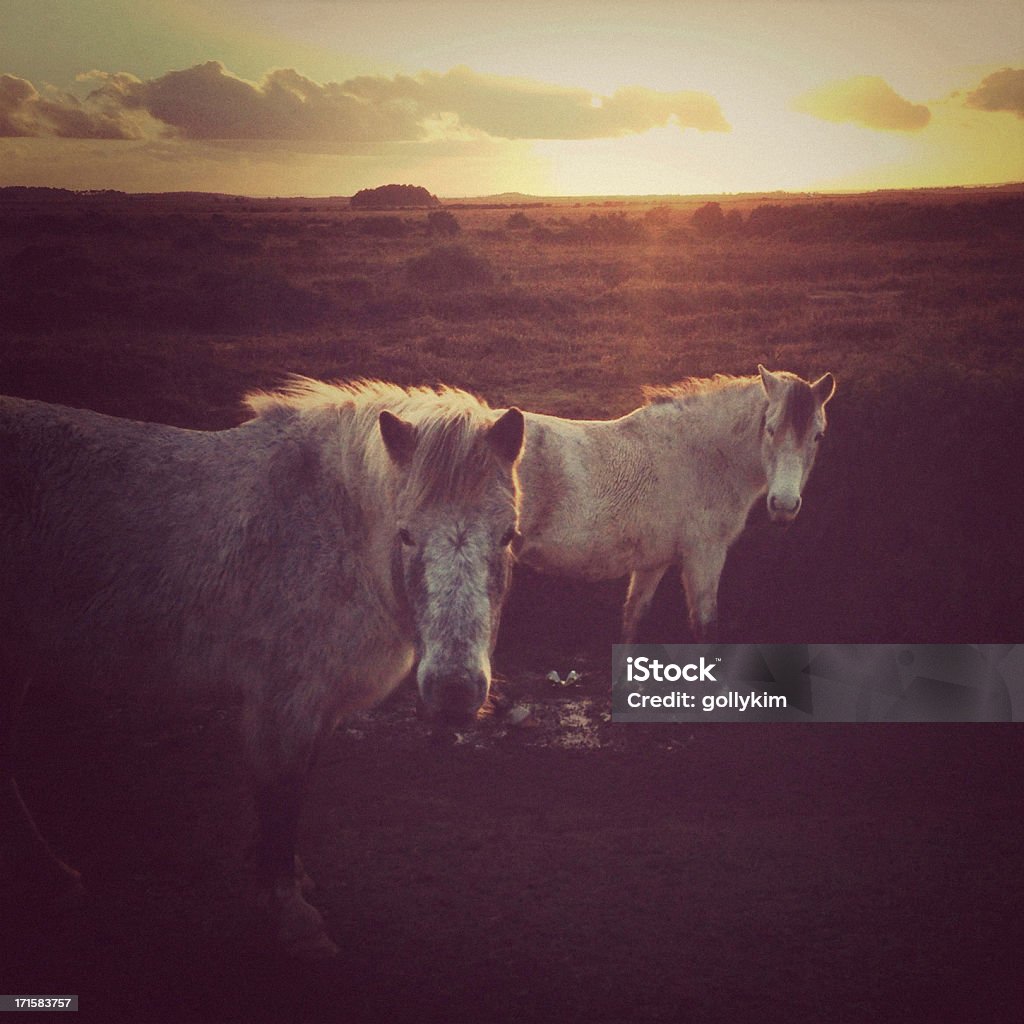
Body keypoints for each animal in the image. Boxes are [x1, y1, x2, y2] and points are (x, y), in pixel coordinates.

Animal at [0, 380, 524, 954]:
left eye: (508, 535)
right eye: (406, 534)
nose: (454, 693)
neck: (330, 531)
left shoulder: (315, 708)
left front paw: (287, 879)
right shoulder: (284, 705)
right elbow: (282, 797)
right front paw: (290, 915)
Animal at [516, 366, 835, 638]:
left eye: (818, 436)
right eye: (770, 429)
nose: (784, 505)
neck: (704, 456)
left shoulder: (652, 563)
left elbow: (633, 620)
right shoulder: (704, 555)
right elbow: (706, 627)